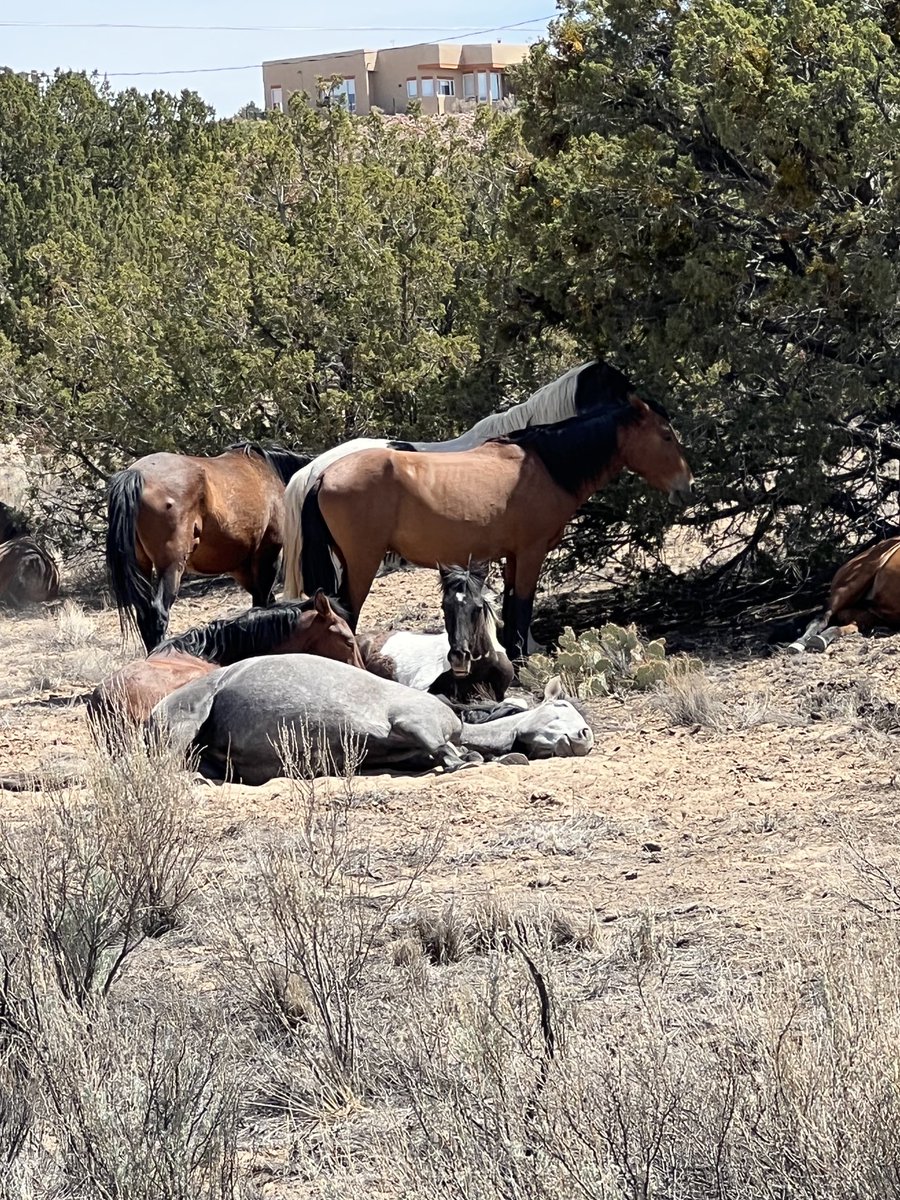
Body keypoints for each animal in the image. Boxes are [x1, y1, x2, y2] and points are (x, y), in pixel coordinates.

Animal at [105, 442, 311, 652]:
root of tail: (137, 474)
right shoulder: (268, 555)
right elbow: (262, 604)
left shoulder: (241, 568)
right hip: (171, 566)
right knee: (158, 614)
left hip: (143, 566)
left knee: (144, 615)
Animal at [294, 389, 694, 660]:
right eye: (666, 435)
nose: (687, 486)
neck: (543, 465)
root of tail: (324, 474)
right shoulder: (531, 553)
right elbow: (523, 606)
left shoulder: (513, 556)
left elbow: (511, 606)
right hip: (362, 563)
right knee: (348, 612)